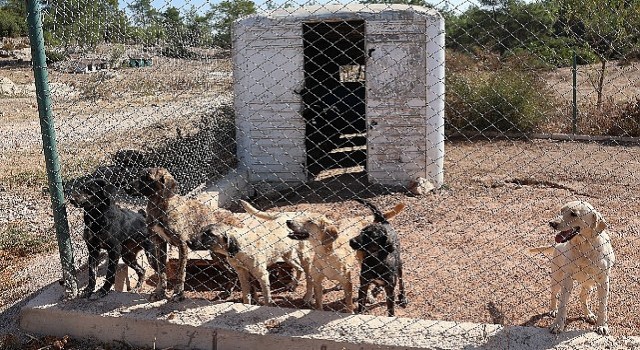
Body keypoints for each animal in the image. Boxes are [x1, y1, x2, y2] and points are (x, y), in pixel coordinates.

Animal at [139, 168, 240, 302]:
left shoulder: (182, 245)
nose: (126, 186)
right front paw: (160, 292)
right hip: (217, 255)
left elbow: (180, 272)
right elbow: (162, 272)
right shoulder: (159, 242)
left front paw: (178, 293)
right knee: (233, 273)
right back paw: (226, 294)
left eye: (147, 178)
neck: (158, 206)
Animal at [528, 201, 616, 334]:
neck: (585, 247)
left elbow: (603, 306)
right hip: (557, 278)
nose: (552, 223)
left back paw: (588, 314)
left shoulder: (603, 281)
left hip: (588, 285)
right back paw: (553, 309)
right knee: (553, 295)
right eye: (561, 210)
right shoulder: (567, 280)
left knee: (582, 298)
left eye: (573, 214)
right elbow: (562, 305)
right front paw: (558, 325)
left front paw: (601, 325)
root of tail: (556, 246)